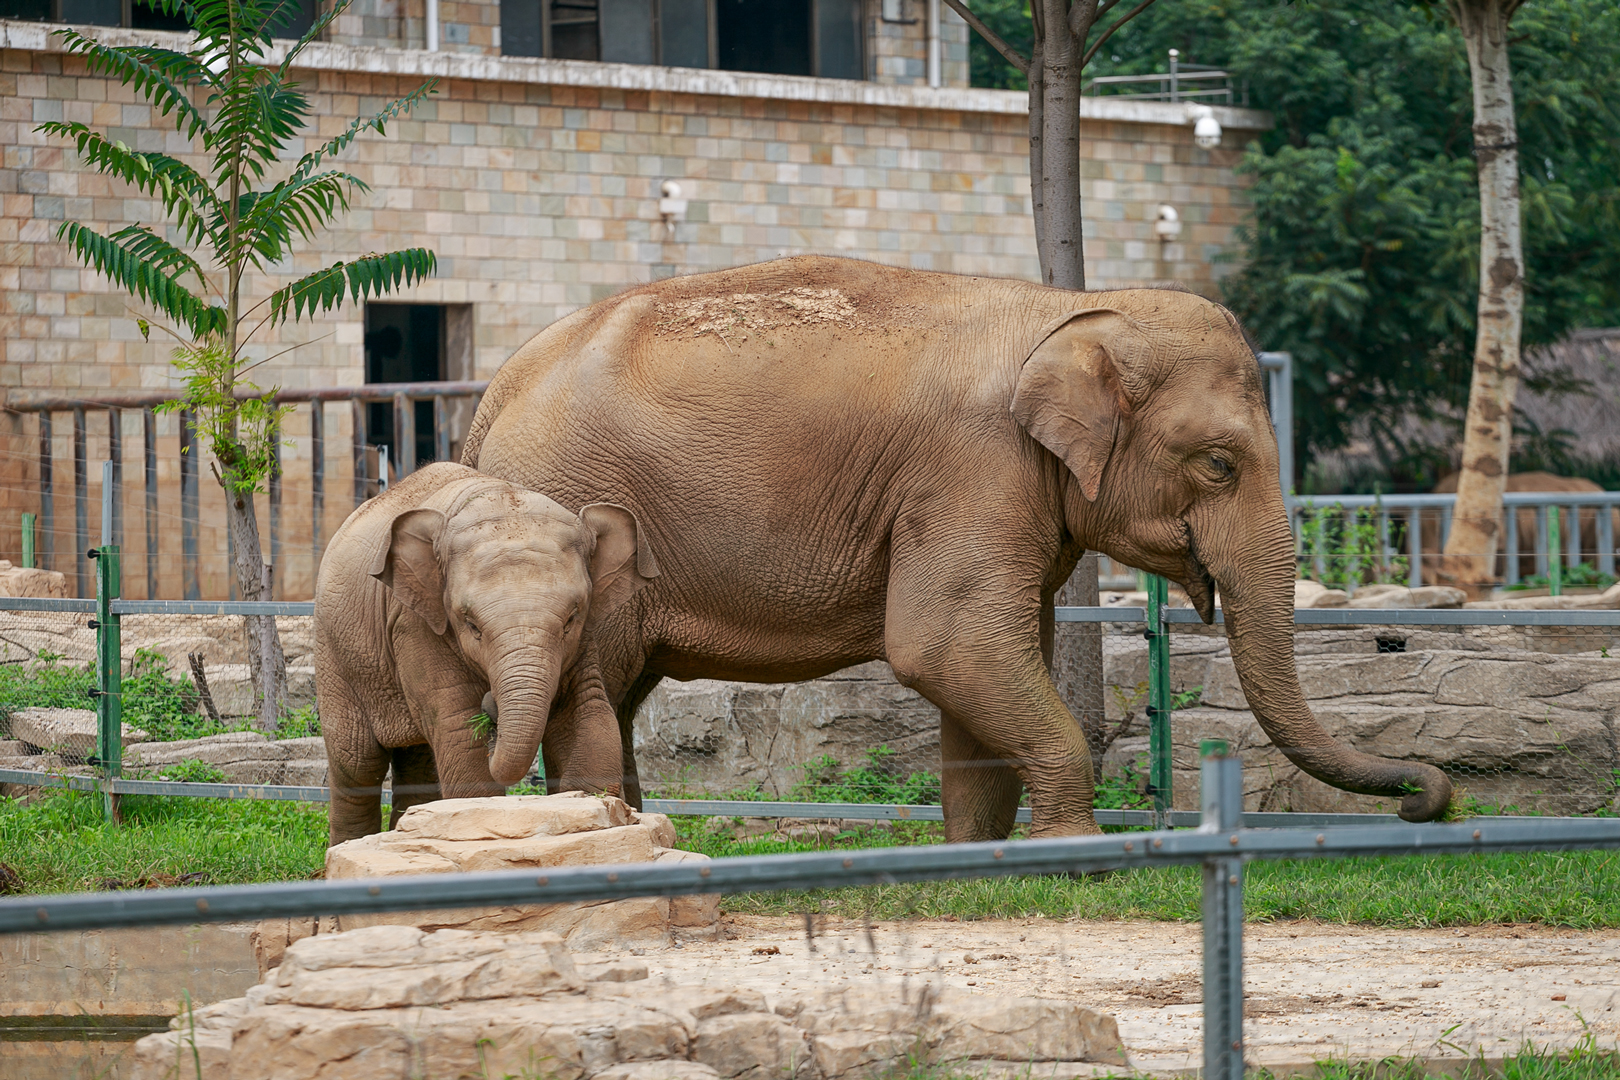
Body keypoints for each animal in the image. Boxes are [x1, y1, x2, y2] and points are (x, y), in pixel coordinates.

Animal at [314, 461, 658, 845]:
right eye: (471, 624)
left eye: (572, 617)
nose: (491, 706)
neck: (497, 497)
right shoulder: (415, 623)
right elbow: (461, 734)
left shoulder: (585, 641)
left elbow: (590, 718)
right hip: (335, 654)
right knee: (357, 764)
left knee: (418, 763)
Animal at [461, 256, 1452, 840]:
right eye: (1218, 464)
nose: (1425, 800)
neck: (1073, 312)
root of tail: (495, 392)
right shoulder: (973, 469)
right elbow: (948, 646)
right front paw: (1076, 853)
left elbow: (990, 666)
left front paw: (978, 858)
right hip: (574, 504)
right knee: (594, 688)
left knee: (621, 691)